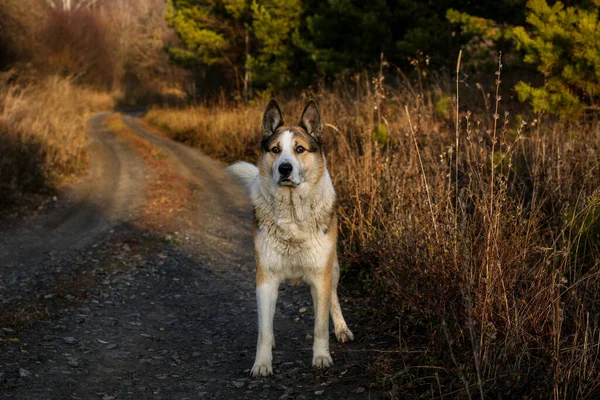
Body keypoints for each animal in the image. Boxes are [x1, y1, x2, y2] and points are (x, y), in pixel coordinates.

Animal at [227, 98, 354, 376]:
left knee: (333, 299)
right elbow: (264, 329)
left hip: (333, 268)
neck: (293, 213)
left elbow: (320, 325)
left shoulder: (320, 274)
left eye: (299, 149)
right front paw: (262, 364)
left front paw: (321, 357)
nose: (285, 168)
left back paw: (341, 328)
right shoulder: (266, 277)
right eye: (275, 149)